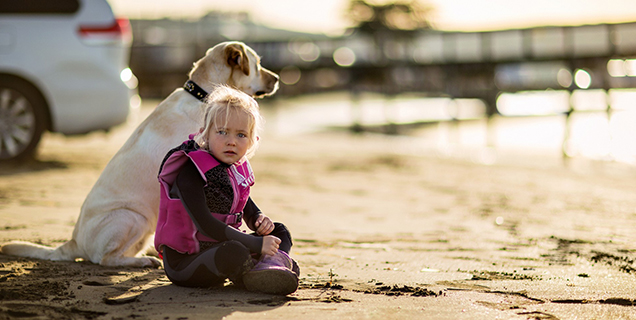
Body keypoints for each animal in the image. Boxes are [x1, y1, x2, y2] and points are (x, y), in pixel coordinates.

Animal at [0, 42, 278, 268]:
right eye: (257, 64)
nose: (277, 78)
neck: (203, 96)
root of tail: (73, 242)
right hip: (133, 217)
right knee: (104, 259)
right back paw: (141, 262)